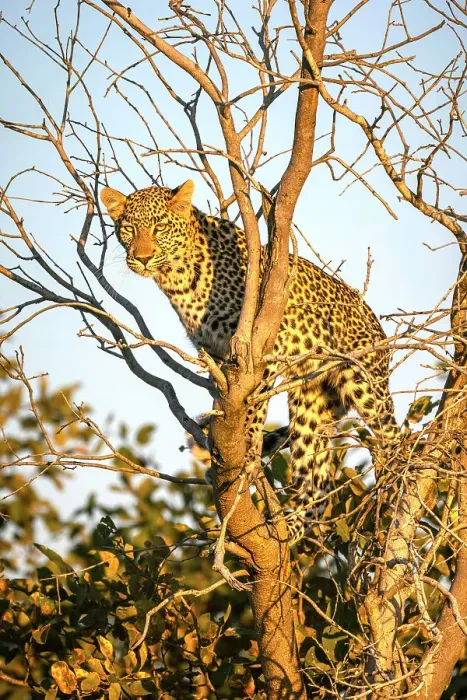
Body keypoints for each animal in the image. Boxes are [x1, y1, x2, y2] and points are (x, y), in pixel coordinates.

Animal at [101, 179, 399, 541]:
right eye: (129, 229)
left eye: (159, 227)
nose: (142, 258)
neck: (176, 279)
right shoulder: (215, 356)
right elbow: (226, 402)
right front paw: (220, 448)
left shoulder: (263, 346)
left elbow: (253, 407)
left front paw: (245, 451)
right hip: (310, 402)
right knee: (316, 477)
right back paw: (294, 525)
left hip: (364, 383)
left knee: (392, 436)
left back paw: (396, 486)